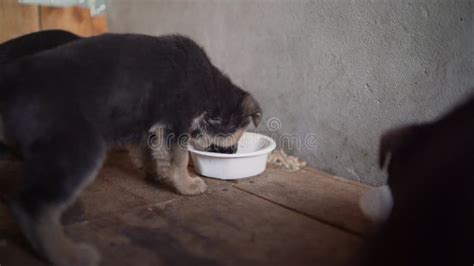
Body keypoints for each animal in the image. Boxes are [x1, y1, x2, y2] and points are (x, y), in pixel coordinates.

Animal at [0, 30, 262, 266]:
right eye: (235, 139)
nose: (233, 153)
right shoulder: (176, 123)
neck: (209, 88)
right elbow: (179, 160)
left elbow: (150, 153)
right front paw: (187, 186)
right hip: (80, 149)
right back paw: (67, 255)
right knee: (32, 206)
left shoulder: (146, 125)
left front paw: (157, 174)